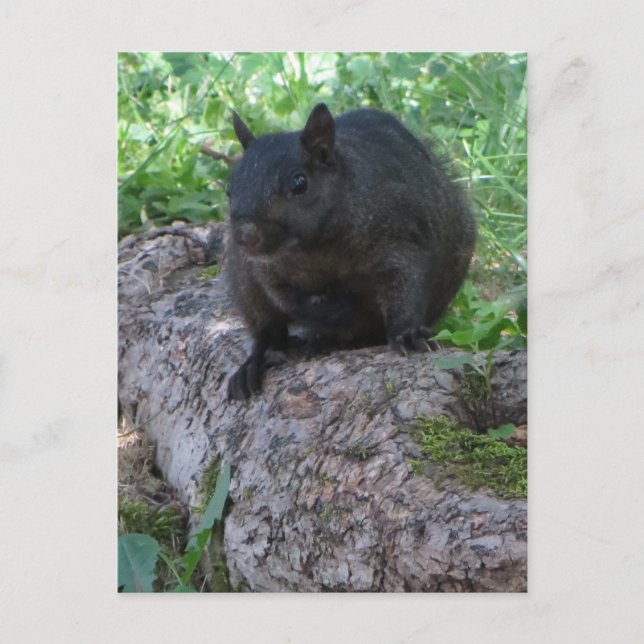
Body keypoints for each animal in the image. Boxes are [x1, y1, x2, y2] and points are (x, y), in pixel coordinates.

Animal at [225, 103, 476, 400]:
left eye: (299, 183)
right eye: (229, 189)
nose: (245, 237)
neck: (314, 248)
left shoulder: (401, 238)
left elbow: (406, 287)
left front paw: (407, 334)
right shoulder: (264, 271)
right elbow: (287, 299)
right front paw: (336, 311)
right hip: (245, 286)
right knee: (267, 332)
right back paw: (259, 361)